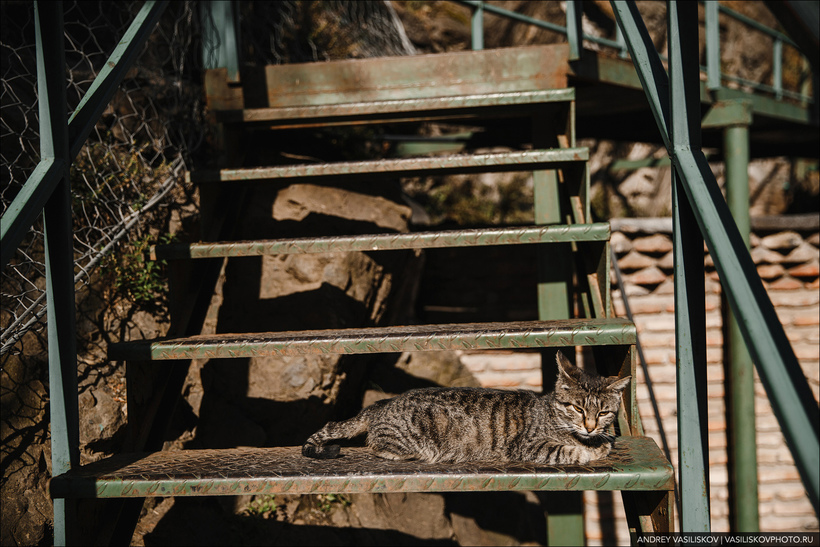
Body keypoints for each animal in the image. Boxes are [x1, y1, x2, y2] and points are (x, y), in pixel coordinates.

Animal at [304, 354, 632, 464]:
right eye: (577, 408)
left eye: (603, 413)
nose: (590, 425)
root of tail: (382, 404)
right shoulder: (531, 446)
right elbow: (572, 451)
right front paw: (593, 449)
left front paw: (602, 441)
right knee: (377, 446)